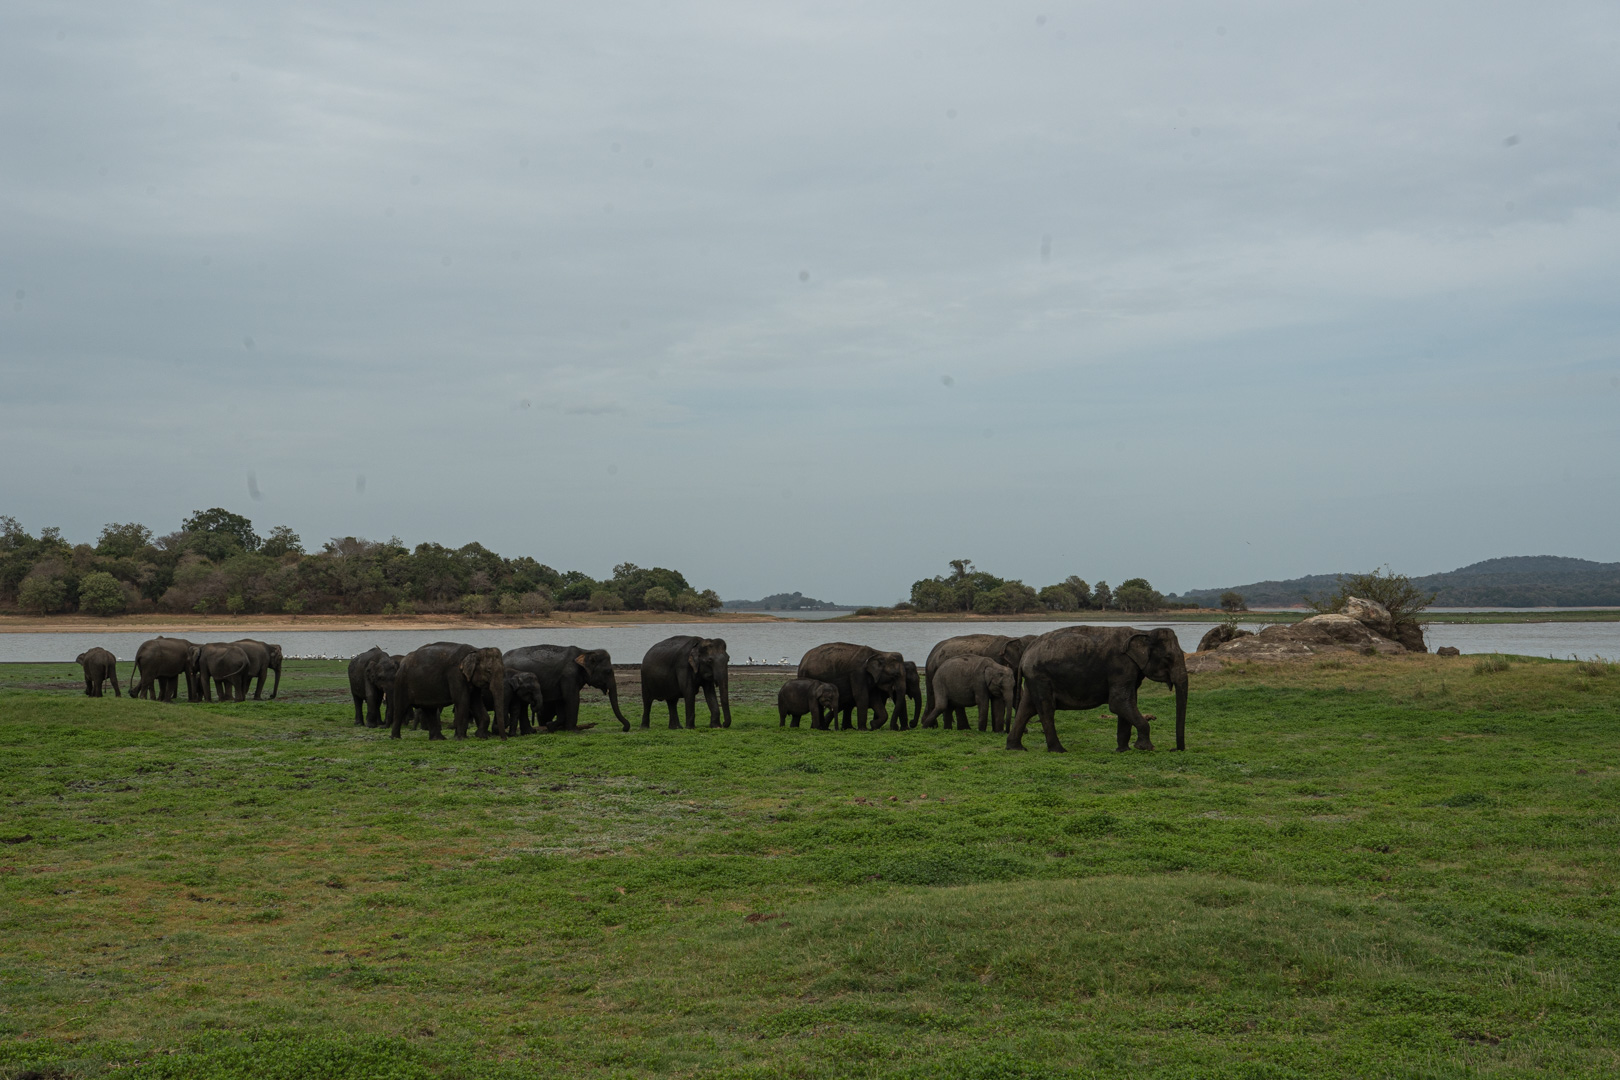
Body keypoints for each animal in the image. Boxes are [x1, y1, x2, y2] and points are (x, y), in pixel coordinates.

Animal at [502, 645, 630, 732]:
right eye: (608, 671)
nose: (624, 728)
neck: (585, 651)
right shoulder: (569, 675)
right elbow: (572, 698)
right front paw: (573, 730)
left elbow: (561, 700)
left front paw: (552, 726)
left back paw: (531, 732)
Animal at [1008, 626, 1188, 753]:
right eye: (1168, 658)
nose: (1174, 749)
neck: (1143, 632)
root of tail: (1025, 654)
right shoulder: (1121, 666)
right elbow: (1118, 703)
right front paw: (1146, 748)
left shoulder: (1130, 672)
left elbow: (1127, 703)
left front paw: (1123, 750)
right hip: (1041, 677)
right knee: (1046, 709)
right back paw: (1059, 751)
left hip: (1033, 679)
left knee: (1027, 708)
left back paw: (1016, 748)